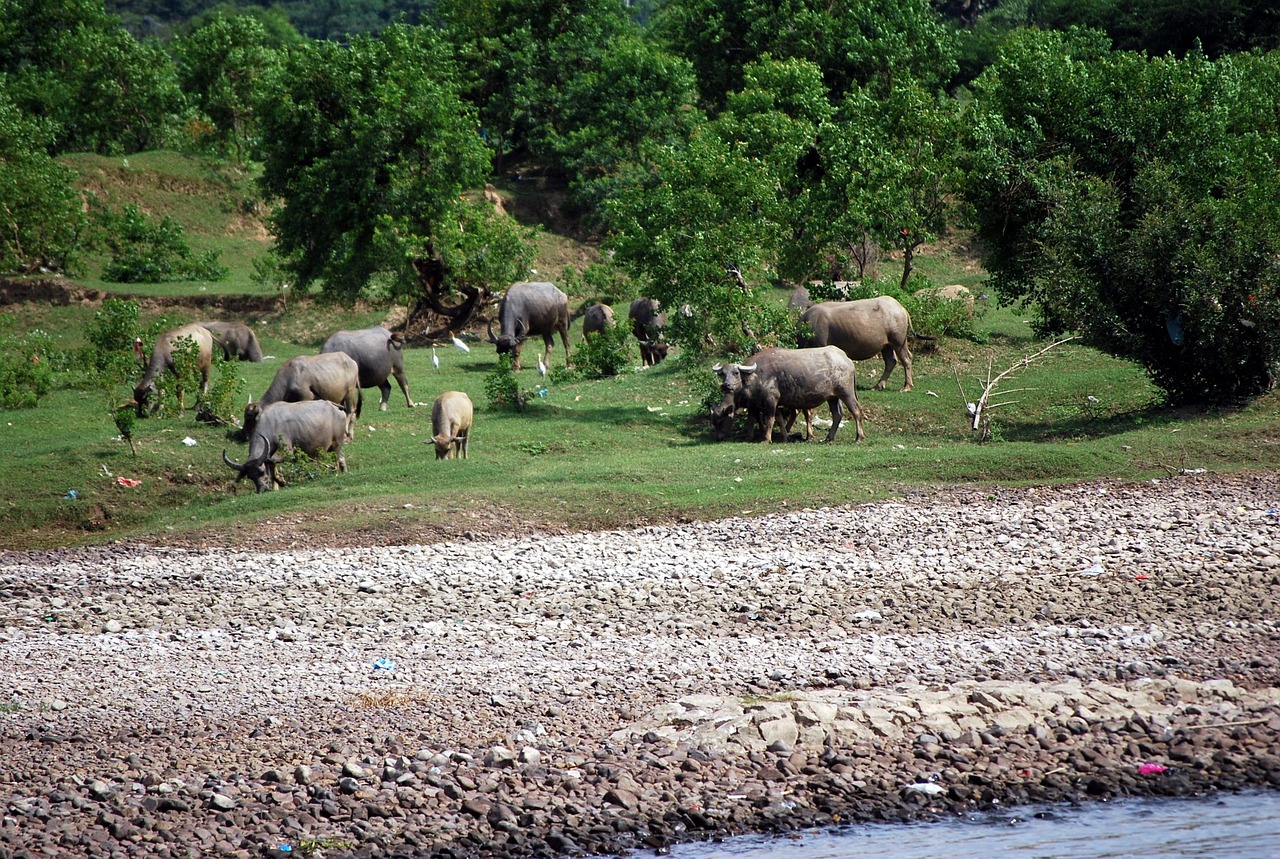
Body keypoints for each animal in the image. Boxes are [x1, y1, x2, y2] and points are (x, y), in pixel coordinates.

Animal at [711, 345, 870, 442]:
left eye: (736, 373)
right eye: (722, 374)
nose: (726, 385)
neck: (753, 377)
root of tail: (846, 359)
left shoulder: (771, 400)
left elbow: (769, 420)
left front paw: (766, 439)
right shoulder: (758, 404)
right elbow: (762, 420)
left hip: (846, 393)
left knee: (856, 411)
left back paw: (859, 437)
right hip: (832, 397)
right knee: (837, 415)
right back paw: (828, 438)